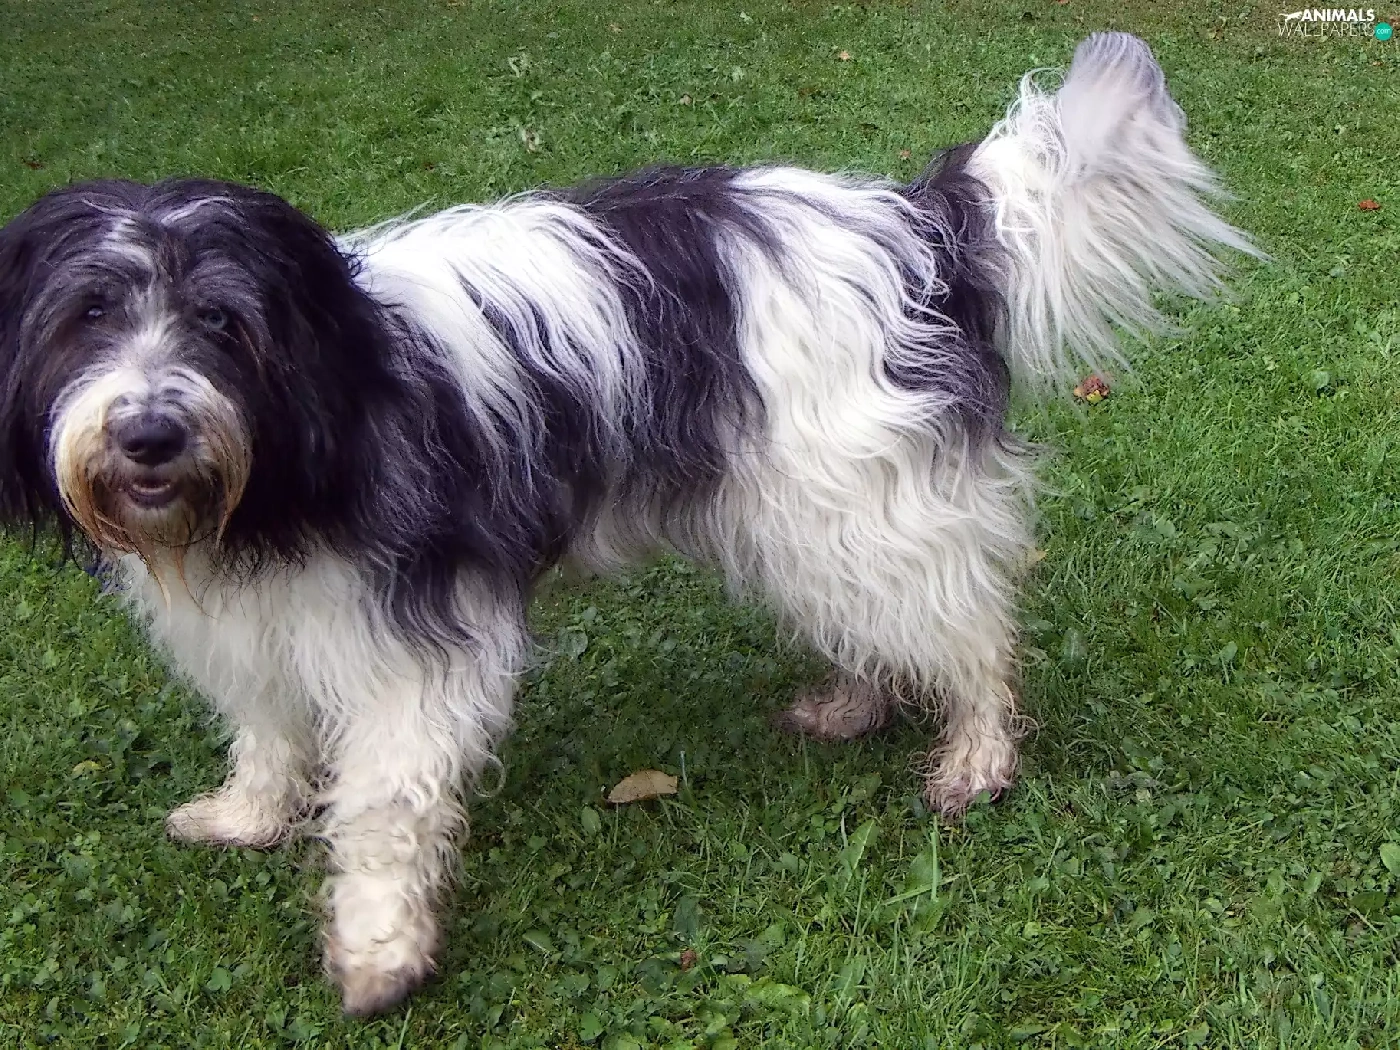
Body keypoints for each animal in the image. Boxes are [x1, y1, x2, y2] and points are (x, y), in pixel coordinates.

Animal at [0, 33, 1255, 1015]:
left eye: (221, 322)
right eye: (86, 318)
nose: (148, 434)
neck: (294, 441)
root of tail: (911, 221)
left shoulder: (415, 638)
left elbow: (385, 802)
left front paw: (378, 950)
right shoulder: (253, 622)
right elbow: (265, 728)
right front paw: (249, 814)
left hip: (854, 502)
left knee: (970, 629)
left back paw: (977, 755)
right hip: (817, 514)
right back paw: (855, 701)